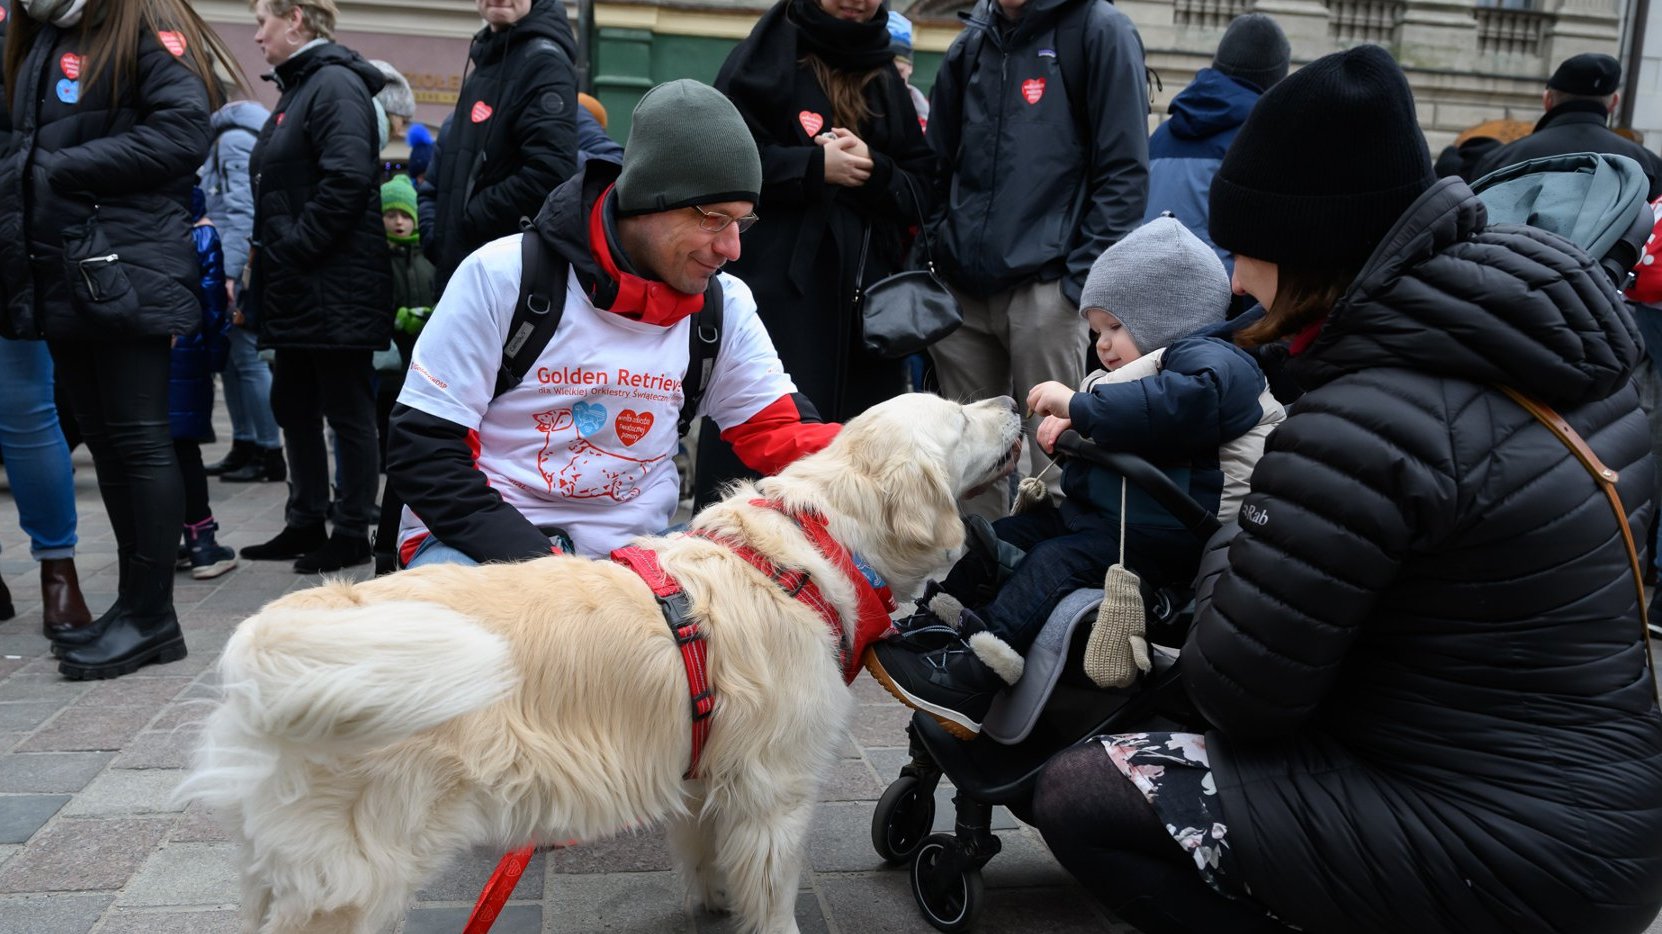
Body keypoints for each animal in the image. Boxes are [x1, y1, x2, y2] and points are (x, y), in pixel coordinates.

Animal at [175, 388, 1017, 924]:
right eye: (957, 418)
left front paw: (711, 902)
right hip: (354, 874)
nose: (1014, 399)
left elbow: (705, 853)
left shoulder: (707, 771)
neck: (809, 551)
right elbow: (773, 900)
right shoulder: (776, 793)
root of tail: (276, 633)